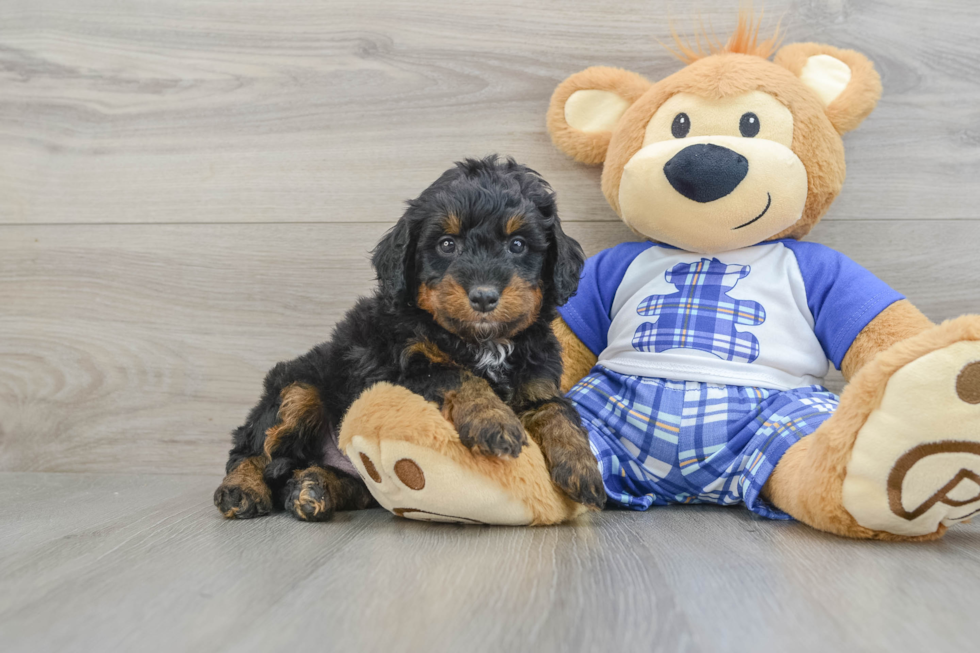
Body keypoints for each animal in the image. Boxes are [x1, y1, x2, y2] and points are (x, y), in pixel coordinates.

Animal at [214, 157, 604, 520]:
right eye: (447, 244)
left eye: (518, 244)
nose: (483, 297)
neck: (482, 342)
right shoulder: (400, 371)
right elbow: (458, 376)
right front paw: (494, 421)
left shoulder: (538, 379)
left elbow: (557, 409)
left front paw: (583, 468)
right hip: (297, 385)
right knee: (250, 448)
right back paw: (242, 489)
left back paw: (313, 488)